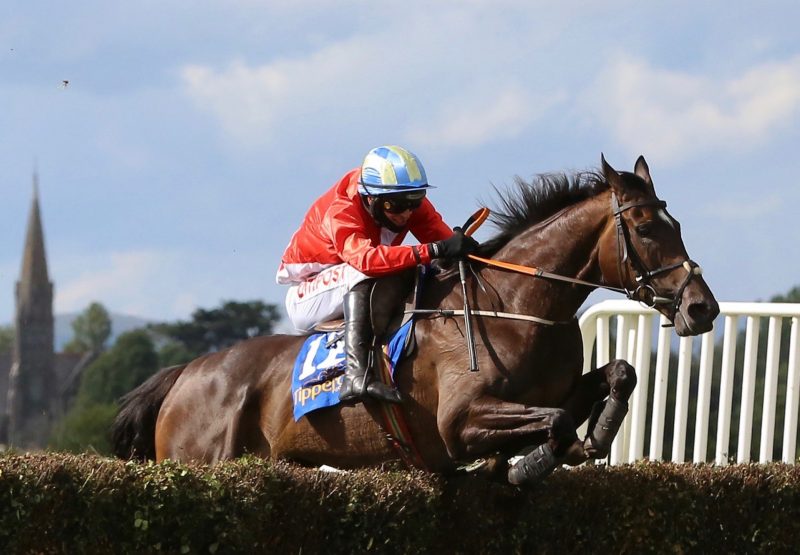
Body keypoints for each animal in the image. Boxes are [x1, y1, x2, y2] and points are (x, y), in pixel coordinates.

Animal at [111, 156, 720, 486]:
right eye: (646, 228)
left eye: (677, 223)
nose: (702, 308)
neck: (517, 305)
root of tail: (186, 374)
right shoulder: (458, 422)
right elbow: (556, 422)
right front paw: (528, 463)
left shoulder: (561, 386)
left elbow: (615, 375)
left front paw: (595, 433)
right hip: (198, 460)